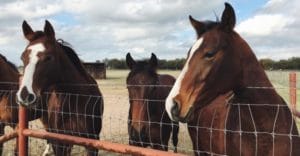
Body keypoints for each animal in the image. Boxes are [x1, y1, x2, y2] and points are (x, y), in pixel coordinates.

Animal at [16, 20, 103, 156]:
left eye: (48, 57)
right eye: (22, 57)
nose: (25, 95)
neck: (77, 100)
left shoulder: (92, 143)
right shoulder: (59, 142)